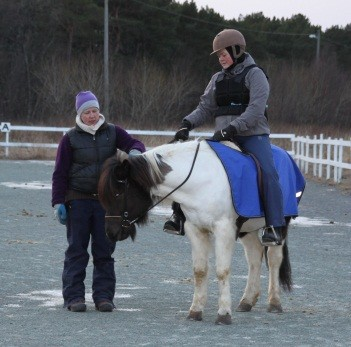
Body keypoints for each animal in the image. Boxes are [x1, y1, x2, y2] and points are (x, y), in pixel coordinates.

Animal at [99, 140, 296, 324]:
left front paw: (224, 314)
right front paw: (195, 311)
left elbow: (222, 270)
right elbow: (199, 271)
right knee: (254, 256)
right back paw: (247, 301)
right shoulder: (195, 229)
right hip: (247, 229)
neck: (201, 181)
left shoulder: (224, 230)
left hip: (280, 226)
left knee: (273, 260)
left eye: (118, 193)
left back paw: (274, 303)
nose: (110, 232)